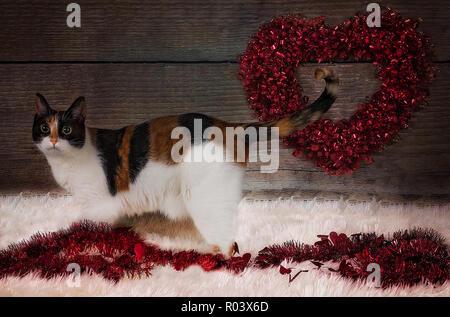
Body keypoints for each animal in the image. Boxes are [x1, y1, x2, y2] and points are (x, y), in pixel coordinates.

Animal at [32, 67, 338, 254]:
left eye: (66, 130)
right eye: (45, 128)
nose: (54, 140)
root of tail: (227, 125)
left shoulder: (98, 204)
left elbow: (91, 227)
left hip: (205, 199)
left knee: (227, 242)